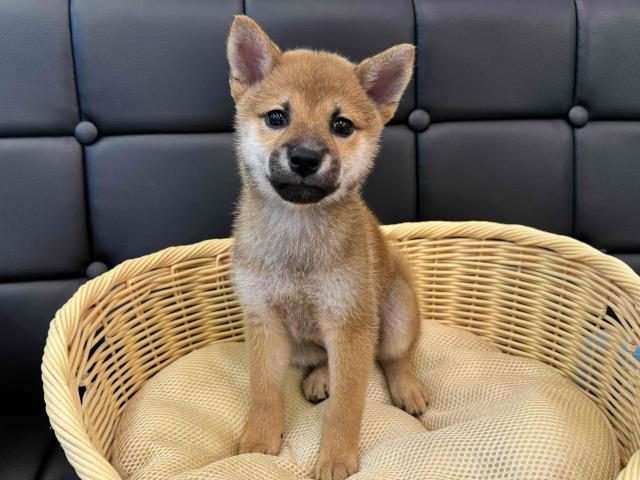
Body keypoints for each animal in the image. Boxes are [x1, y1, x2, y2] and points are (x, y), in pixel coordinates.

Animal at [225, 15, 424, 480]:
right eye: (277, 117)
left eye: (342, 126)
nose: (304, 157)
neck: (297, 235)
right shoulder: (265, 320)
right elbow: (265, 391)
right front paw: (258, 442)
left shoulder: (350, 325)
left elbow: (346, 407)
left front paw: (335, 459)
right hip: (300, 341)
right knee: (319, 358)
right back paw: (320, 377)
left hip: (396, 314)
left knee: (394, 358)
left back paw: (406, 389)